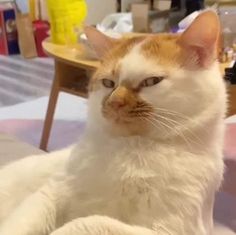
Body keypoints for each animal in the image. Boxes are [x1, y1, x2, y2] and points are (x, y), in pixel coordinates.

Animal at [0, 10, 230, 235]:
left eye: (151, 81)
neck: (129, 148)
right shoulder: (51, 192)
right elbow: (23, 221)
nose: (114, 102)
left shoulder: (170, 229)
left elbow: (90, 222)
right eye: (108, 83)